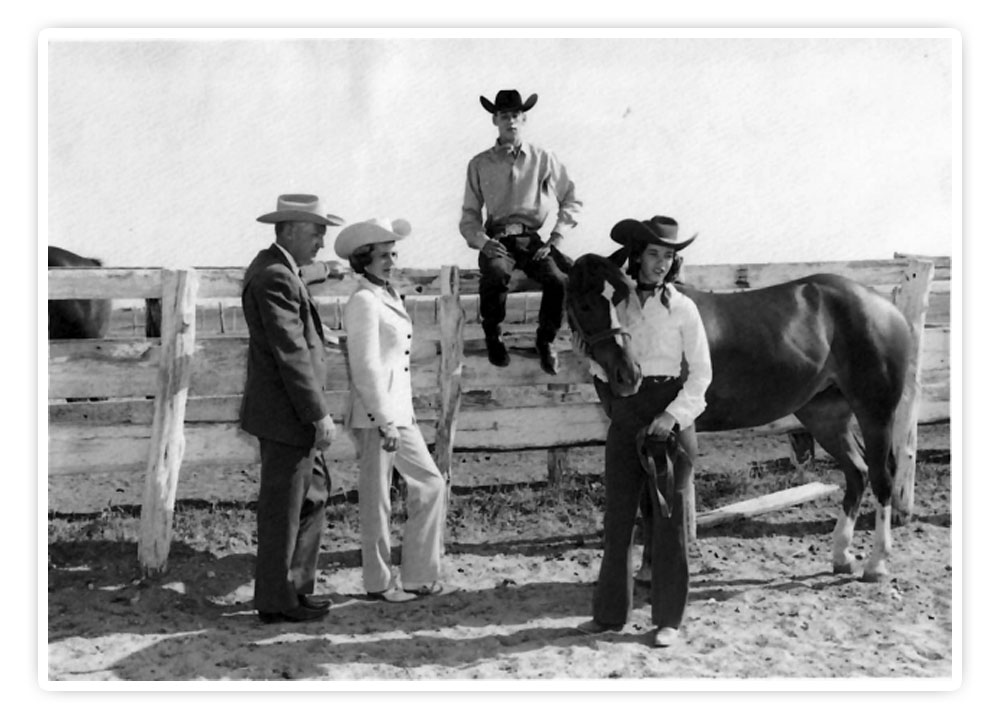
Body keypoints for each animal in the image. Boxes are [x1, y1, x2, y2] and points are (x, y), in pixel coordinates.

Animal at [564, 253, 916, 580]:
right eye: (583, 303)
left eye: (622, 298)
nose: (627, 375)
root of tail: (885, 308)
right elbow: (649, 504)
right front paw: (647, 570)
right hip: (826, 417)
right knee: (857, 472)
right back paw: (842, 556)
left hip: (875, 412)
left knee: (882, 477)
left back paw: (876, 564)